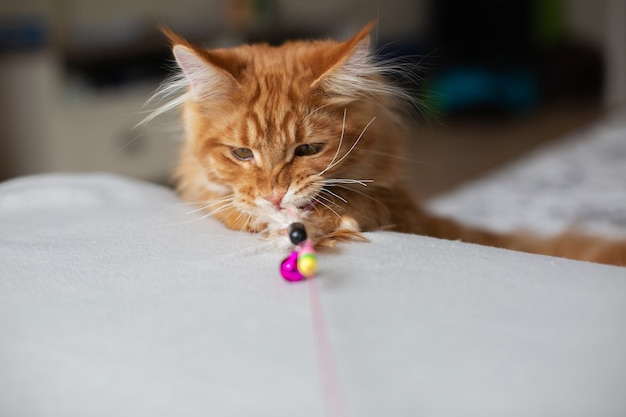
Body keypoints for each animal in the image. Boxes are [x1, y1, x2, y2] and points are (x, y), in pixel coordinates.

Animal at [147, 22, 624, 264]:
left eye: (308, 150)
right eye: (241, 154)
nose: (276, 196)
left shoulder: (400, 209)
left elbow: (360, 205)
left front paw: (319, 220)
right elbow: (224, 202)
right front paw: (266, 219)